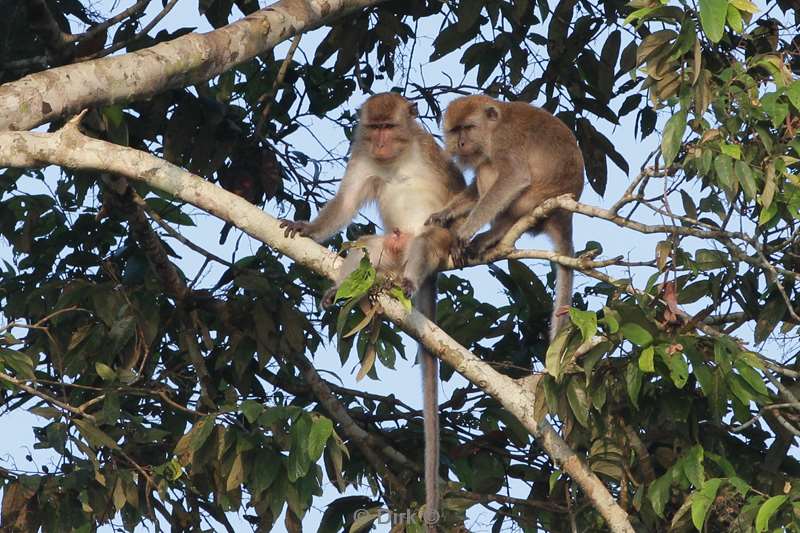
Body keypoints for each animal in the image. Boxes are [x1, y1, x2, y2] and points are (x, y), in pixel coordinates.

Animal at [424, 95, 588, 336]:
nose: (461, 144)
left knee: (488, 169)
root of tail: (563, 213)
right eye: (455, 130)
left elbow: (513, 177)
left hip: (529, 201)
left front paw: (463, 233)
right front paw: (443, 214)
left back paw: (496, 232)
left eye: (468, 128)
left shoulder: (505, 139)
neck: (495, 125)